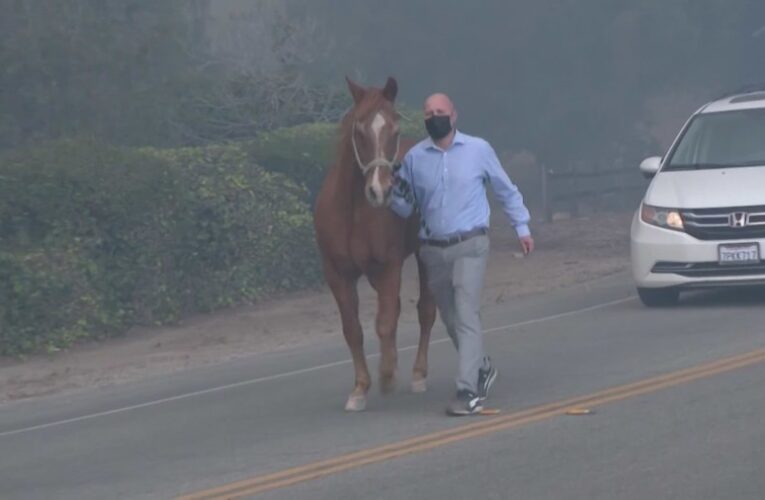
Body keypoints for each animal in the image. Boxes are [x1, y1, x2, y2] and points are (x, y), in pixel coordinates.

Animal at [312, 75, 436, 410]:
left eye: (395, 129)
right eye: (359, 130)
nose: (380, 191)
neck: (353, 211)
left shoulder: (388, 265)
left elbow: (385, 322)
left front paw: (387, 375)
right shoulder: (337, 273)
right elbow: (353, 330)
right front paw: (359, 389)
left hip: (424, 255)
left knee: (425, 310)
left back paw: (418, 374)